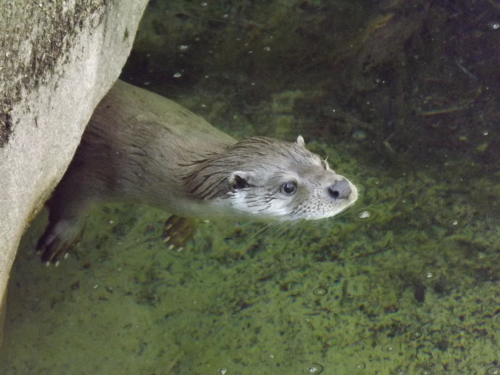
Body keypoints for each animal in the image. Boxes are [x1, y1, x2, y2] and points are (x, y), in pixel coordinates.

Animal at [38, 80, 360, 264]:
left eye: (323, 163)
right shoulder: (101, 167)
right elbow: (72, 198)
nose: (341, 188)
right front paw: (61, 239)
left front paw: (181, 228)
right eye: (289, 187)